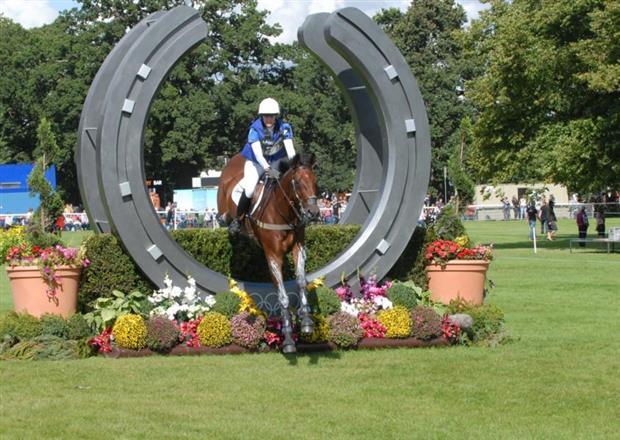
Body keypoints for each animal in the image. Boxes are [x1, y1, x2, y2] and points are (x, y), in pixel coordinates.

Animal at [216, 153, 320, 352]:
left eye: (315, 181)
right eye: (297, 183)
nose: (314, 213)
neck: (283, 213)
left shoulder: (298, 249)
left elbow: (301, 281)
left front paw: (306, 320)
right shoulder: (273, 255)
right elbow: (283, 297)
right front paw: (288, 339)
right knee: (224, 217)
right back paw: (230, 222)